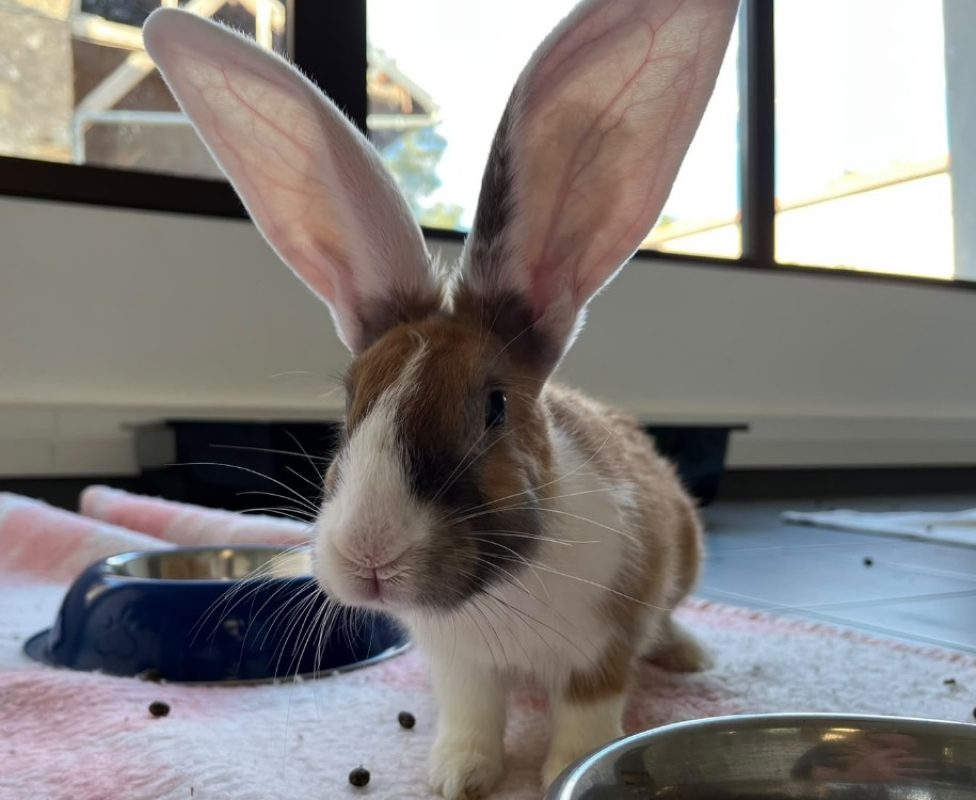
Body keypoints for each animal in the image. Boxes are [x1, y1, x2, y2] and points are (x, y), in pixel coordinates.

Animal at [143, 0, 737, 795]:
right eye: (349, 404)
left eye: (494, 406)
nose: (370, 557)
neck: (499, 590)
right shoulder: (460, 665)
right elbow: (471, 717)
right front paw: (458, 776)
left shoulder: (603, 645)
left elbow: (587, 713)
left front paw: (564, 770)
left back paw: (691, 656)